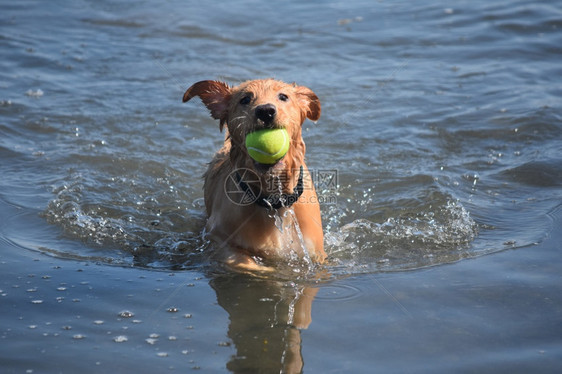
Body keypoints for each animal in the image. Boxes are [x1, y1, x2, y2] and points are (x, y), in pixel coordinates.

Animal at [182, 79, 326, 272]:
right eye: (245, 99)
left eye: (283, 97)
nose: (265, 111)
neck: (275, 203)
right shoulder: (217, 239)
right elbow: (247, 262)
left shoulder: (316, 251)